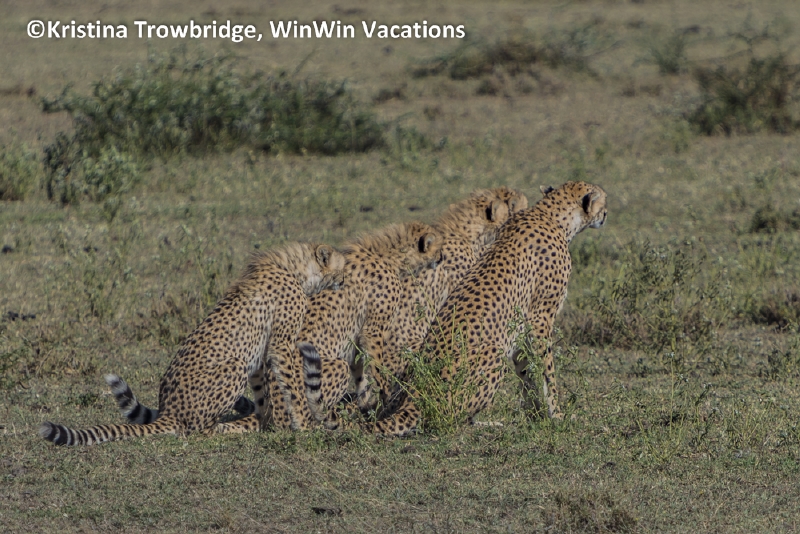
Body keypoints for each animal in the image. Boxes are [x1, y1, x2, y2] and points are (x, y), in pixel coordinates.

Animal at [39, 242, 346, 445]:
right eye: (343, 264)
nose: (344, 280)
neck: (295, 269)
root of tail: (169, 410)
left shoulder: (261, 351)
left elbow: (264, 391)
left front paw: (266, 422)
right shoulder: (282, 344)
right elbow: (293, 386)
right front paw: (303, 424)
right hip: (233, 366)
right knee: (195, 430)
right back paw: (220, 430)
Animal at [251, 221, 444, 431]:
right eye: (438, 246)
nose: (442, 257)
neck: (388, 254)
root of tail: (274, 416)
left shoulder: (357, 338)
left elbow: (362, 375)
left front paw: (367, 406)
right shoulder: (373, 331)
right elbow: (378, 371)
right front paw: (384, 400)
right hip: (330, 368)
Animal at [354, 180, 607, 436]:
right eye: (603, 201)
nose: (606, 214)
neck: (552, 215)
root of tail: (414, 399)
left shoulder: (520, 327)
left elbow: (525, 371)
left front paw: (534, 415)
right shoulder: (540, 319)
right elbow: (547, 372)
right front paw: (556, 415)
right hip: (493, 354)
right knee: (450, 420)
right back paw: (486, 424)